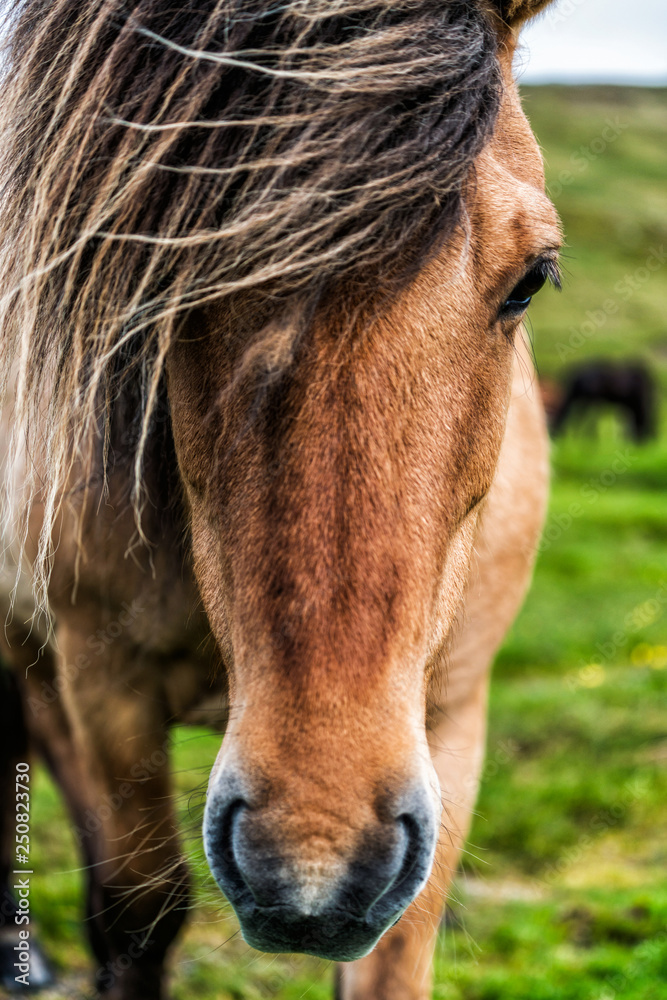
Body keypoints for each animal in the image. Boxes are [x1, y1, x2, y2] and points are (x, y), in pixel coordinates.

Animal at [0, 1, 560, 1000]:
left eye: (532, 276)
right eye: (162, 266)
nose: (311, 859)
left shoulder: (453, 715)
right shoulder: (106, 684)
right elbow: (139, 917)